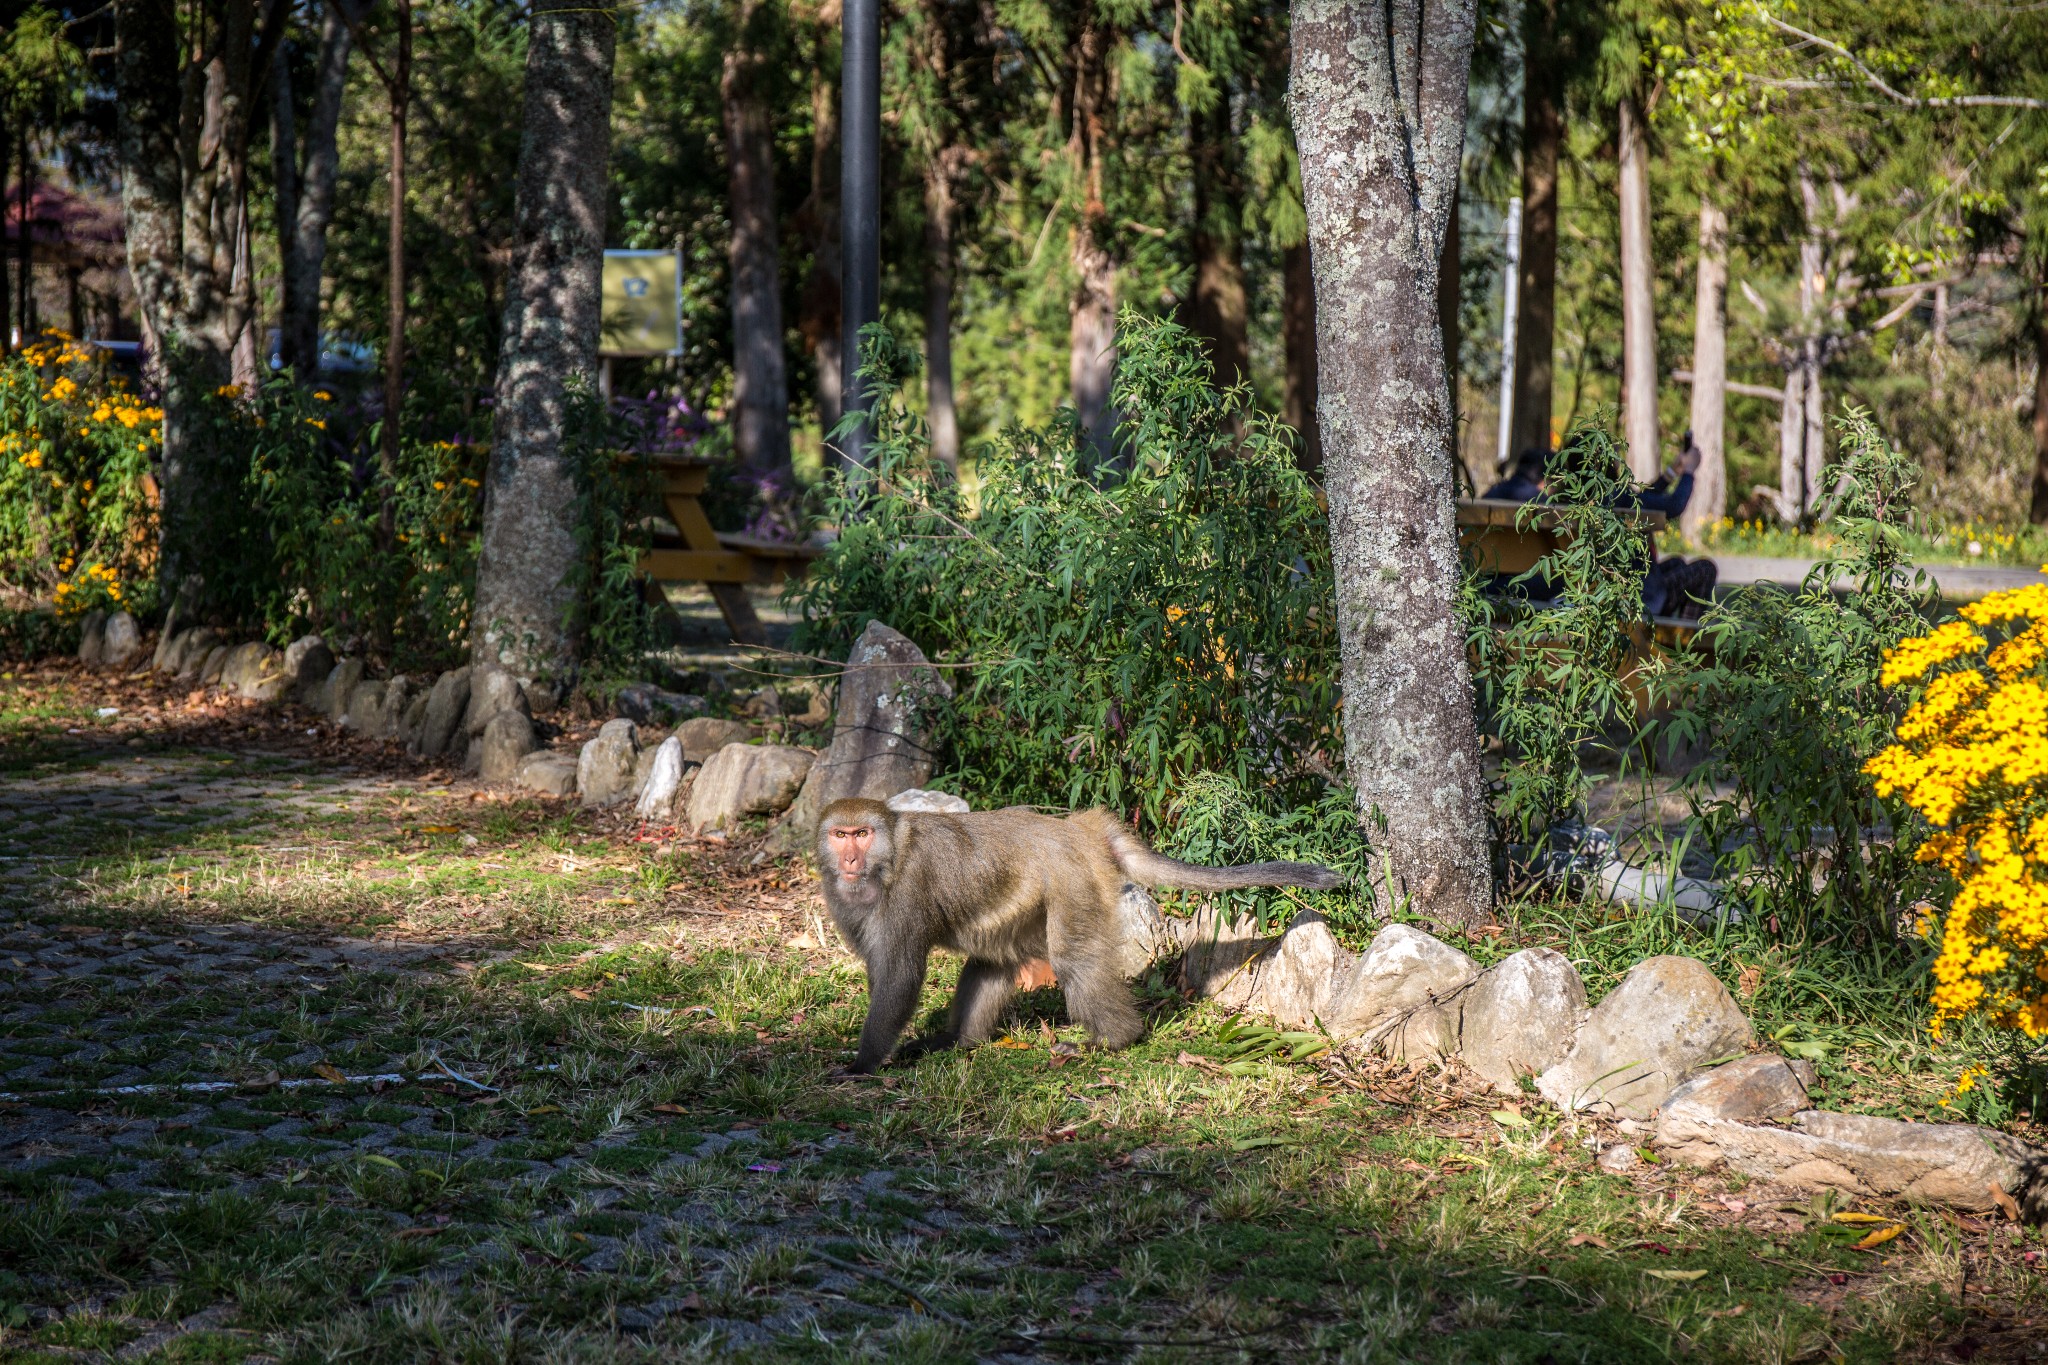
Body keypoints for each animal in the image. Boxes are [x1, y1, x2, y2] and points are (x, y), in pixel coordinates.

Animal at [815, 802, 1343, 1080]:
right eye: (840, 834)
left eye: (861, 833)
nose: (849, 858)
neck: (889, 860)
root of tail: (1076, 828)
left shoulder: (906, 895)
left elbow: (900, 977)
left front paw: (862, 1064)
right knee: (992, 959)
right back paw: (958, 1041)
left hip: (1072, 879)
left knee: (1072, 961)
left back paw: (1114, 1039)